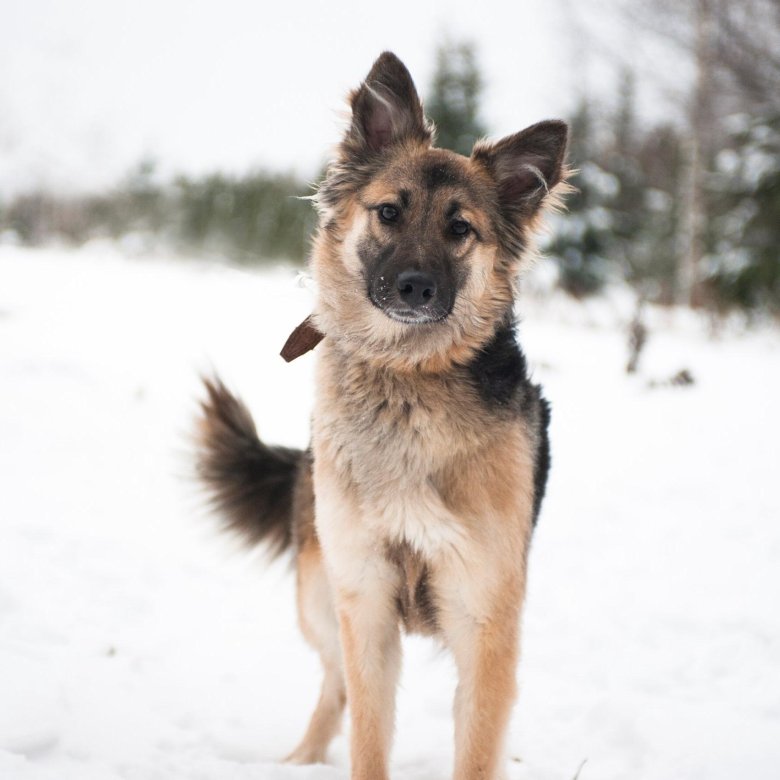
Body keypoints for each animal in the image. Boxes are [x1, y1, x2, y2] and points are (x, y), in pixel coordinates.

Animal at [198, 53, 568, 780]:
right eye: (390, 213)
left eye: (461, 229)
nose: (415, 288)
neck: (407, 378)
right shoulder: (364, 600)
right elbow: (367, 730)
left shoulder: (484, 617)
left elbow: (476, 747)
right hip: (318, 598)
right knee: (334, 685)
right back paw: (300, 758)